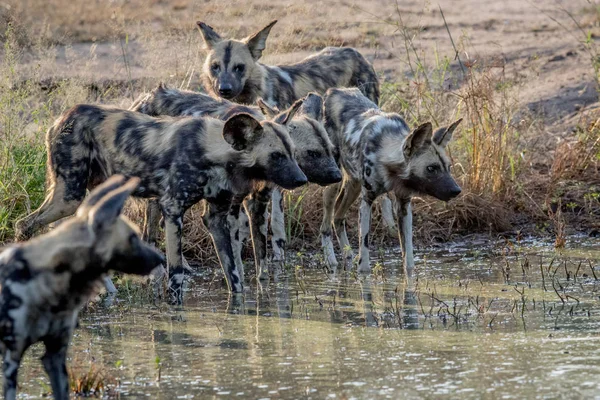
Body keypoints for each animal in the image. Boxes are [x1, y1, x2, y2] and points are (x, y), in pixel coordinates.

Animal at [16, 101, 308, 302]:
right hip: (69, 197)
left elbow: (233, 275)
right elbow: (176, 275)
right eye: (276, 156)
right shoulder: (173, 211)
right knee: (24, 225)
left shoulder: (216, 218)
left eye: (294, 153)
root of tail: (63, 116)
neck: (214, 152)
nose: (302, 179)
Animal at [131, 83, 340, 278]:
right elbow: (235, 258)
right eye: (312, 153)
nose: (337, 176)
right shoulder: (232, 207)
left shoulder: (258, 203)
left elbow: (263, 256)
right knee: (149, 234)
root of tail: (144, 98)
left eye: (331, 150)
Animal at [198, 18, 398, 256]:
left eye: (239, 67)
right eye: (215, 67)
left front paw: (276, 253)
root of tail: (354, 51)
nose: (224, 89)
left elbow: (275, 221)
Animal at [322, 87, 462, 276]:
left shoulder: (404, 204)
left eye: (448, 167)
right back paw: (331, 263)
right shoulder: (367, 201)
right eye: (431, 168)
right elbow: (364, 263)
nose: (456, 190)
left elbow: (408, 260)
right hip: (334, 181)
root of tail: (335, 90)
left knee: (338, 217)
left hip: (354, 185)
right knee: (326, 226)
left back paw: (347, 256)